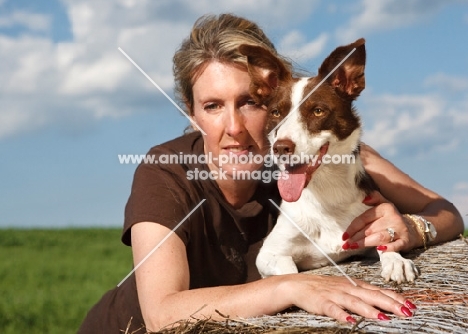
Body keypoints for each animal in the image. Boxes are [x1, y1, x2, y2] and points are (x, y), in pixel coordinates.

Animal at [239, 39, 418, 284]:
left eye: (317, 111)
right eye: (275, 113)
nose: (281, 148)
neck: (326, 191)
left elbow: (384, 242)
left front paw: (396, 260)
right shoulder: (269, 254)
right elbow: (290, 273)